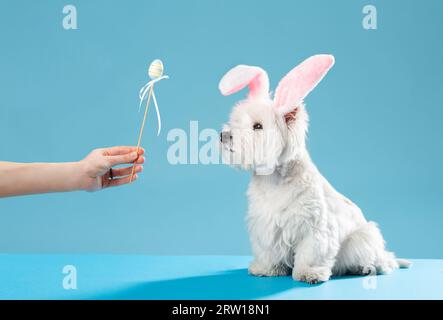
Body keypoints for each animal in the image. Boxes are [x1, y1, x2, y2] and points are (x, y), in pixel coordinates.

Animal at [220, 54, 412, 282]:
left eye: (257, 126)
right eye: (234, 121)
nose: (223, 135)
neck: (273, 179)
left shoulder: (315, 228)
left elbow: (311, 252)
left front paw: (308, 273)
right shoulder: (265, 225)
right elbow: (268, 251)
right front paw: (266, 269)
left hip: (363, 237)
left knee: (385, 261)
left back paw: (367, 267)